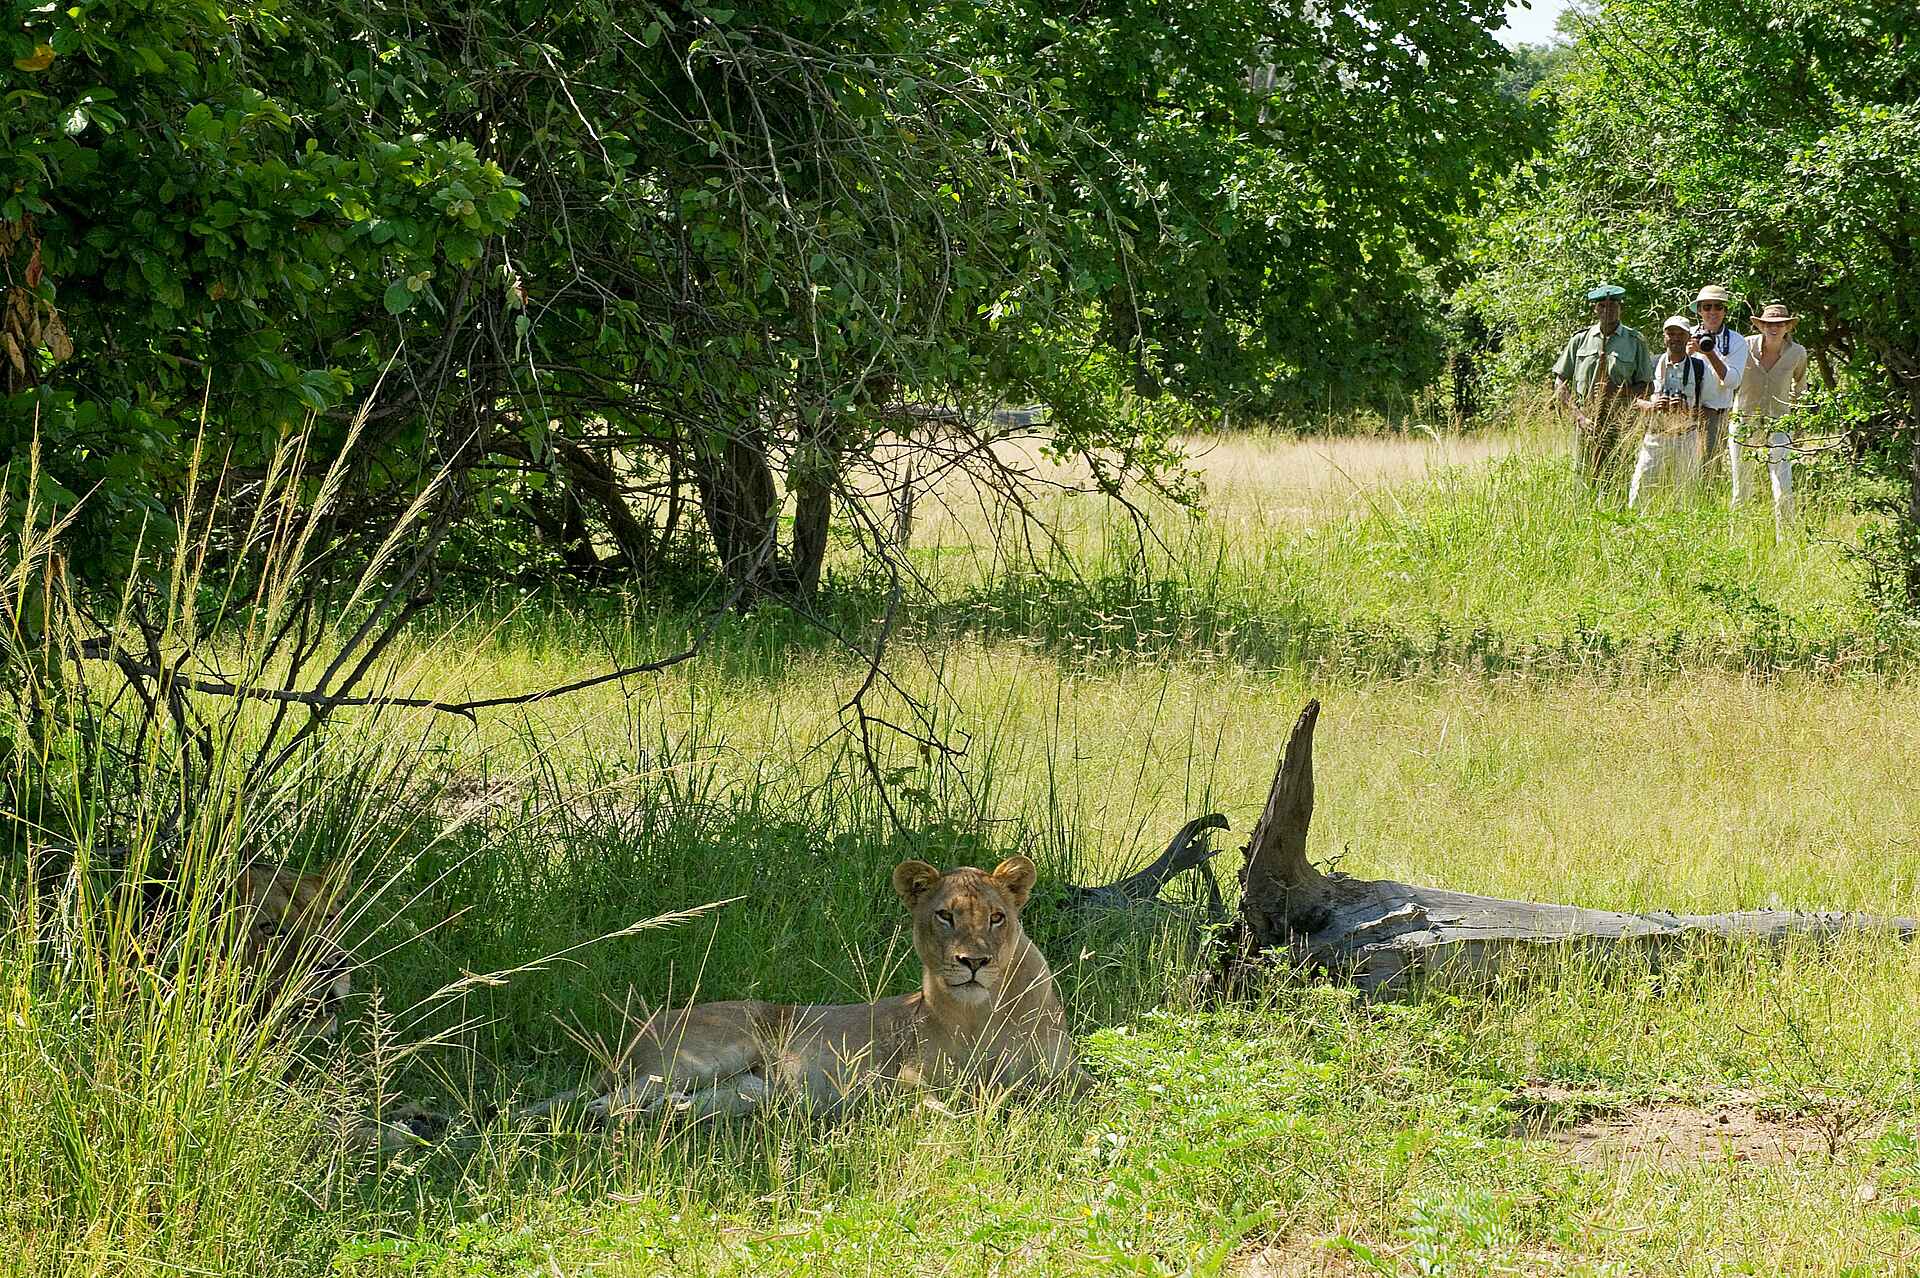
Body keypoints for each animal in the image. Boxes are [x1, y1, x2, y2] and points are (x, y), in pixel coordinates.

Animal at [530, 855, 1082, 1122]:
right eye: (945, 916)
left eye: (997, 917)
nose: (974, 962)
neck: (980, 1012)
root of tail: (636, 1034)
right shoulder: (903, 1078)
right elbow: (962, 1100)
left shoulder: (1069, 1075)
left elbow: (1058, 1092)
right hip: (707, 1054)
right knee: (611, 1098)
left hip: (746, 1092)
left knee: (669, 1105)